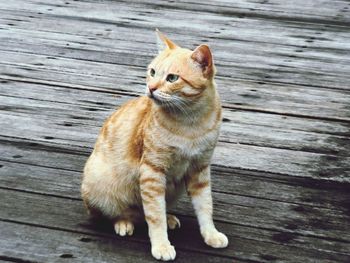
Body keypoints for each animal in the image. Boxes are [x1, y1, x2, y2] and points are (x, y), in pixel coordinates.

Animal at [82, 29, 230, 262]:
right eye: (152, 72)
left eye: (172, 78)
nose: (150, 88)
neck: (191, 123)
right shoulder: (152, 172)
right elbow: (154, 215)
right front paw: (161, 244)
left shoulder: (200, 169)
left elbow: (205, 206)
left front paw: (211, 234)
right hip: (100, 183)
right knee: (120, 213)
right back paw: (124, 222)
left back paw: (168, 217)